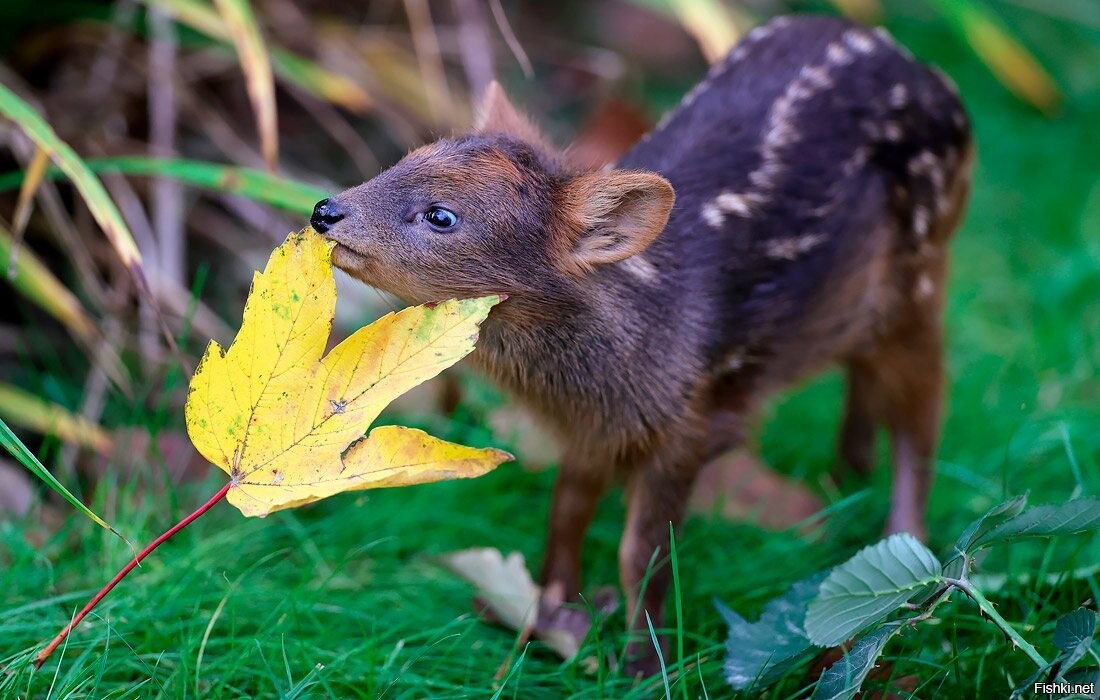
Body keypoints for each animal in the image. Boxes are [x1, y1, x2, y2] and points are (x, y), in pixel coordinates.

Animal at [308, 15, 972, 673]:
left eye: (441, 216)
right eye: (402, 160)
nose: (323, 209)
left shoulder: (690, 427)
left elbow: (643, 554)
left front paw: (644, 664)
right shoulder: (594, 427)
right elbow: (567, 509)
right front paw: (549, 616)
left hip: (922, 279)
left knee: (925, 412)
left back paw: (914, 567)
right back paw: (845, 479)